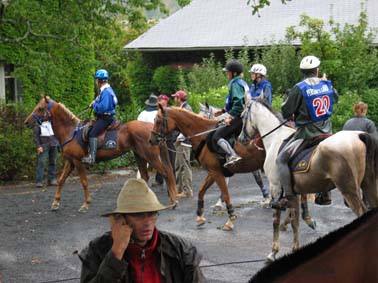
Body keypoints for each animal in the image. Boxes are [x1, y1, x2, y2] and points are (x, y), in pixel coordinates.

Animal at [24, 96, 177, 212]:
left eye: (40, 108)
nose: (26, 122)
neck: (71, 131)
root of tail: (152, 129)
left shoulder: (78, 162)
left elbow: (84, 182)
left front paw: (86, 204)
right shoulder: (70, 161)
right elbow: (61, 180)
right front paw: (55, 203)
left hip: (151, 157)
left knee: (165, 173)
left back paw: (173, 200)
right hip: (139, 155)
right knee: (145, 176)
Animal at [239, 99, 378, 262]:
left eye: (242, 116)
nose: (241, 139)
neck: (275, 138)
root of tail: (359, 136)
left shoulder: (275, 187)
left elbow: (277, 220)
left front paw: (274, 252)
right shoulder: (296, 191)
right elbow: (295, 219)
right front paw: (296, 243)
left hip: (349, 190)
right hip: (368, 185)